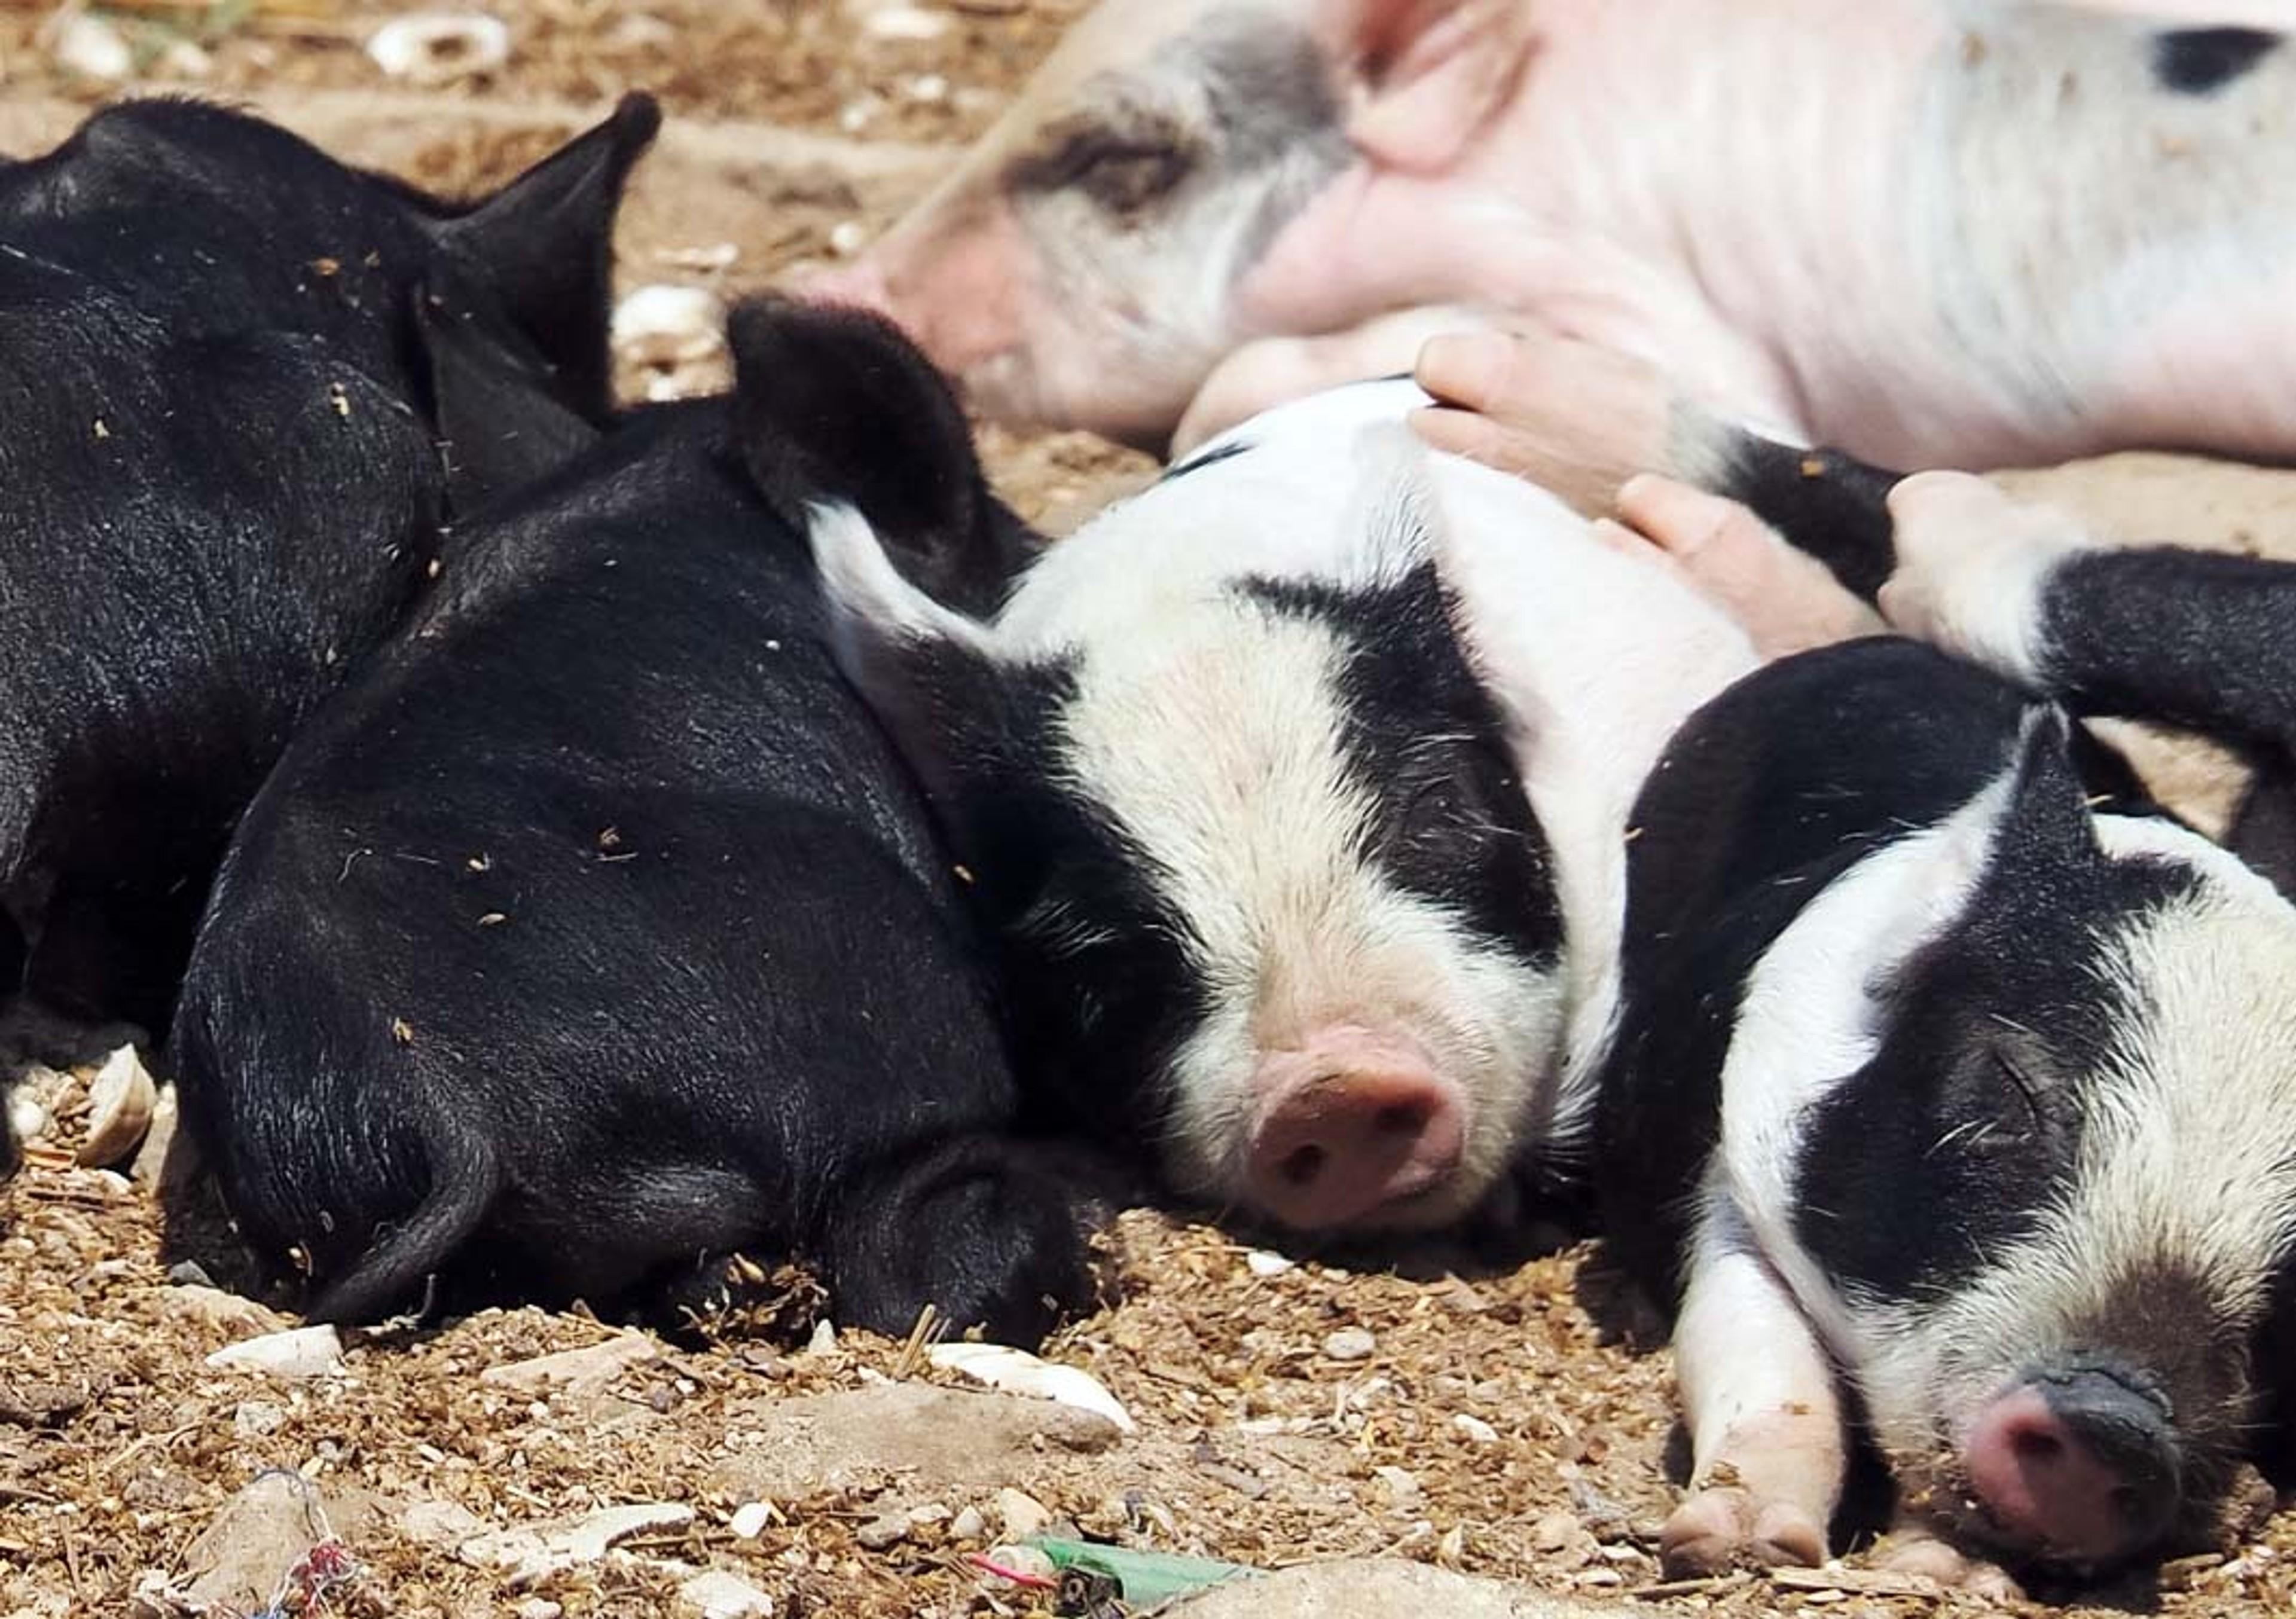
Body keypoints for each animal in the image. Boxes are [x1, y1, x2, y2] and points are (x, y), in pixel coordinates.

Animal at [1595, 454, 2296, 1587]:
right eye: (2011, 1085)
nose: (2115, 1423)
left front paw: (1938, 1574)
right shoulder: (1739, 1127)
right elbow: (1753, 1335)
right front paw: (1737, 1546)